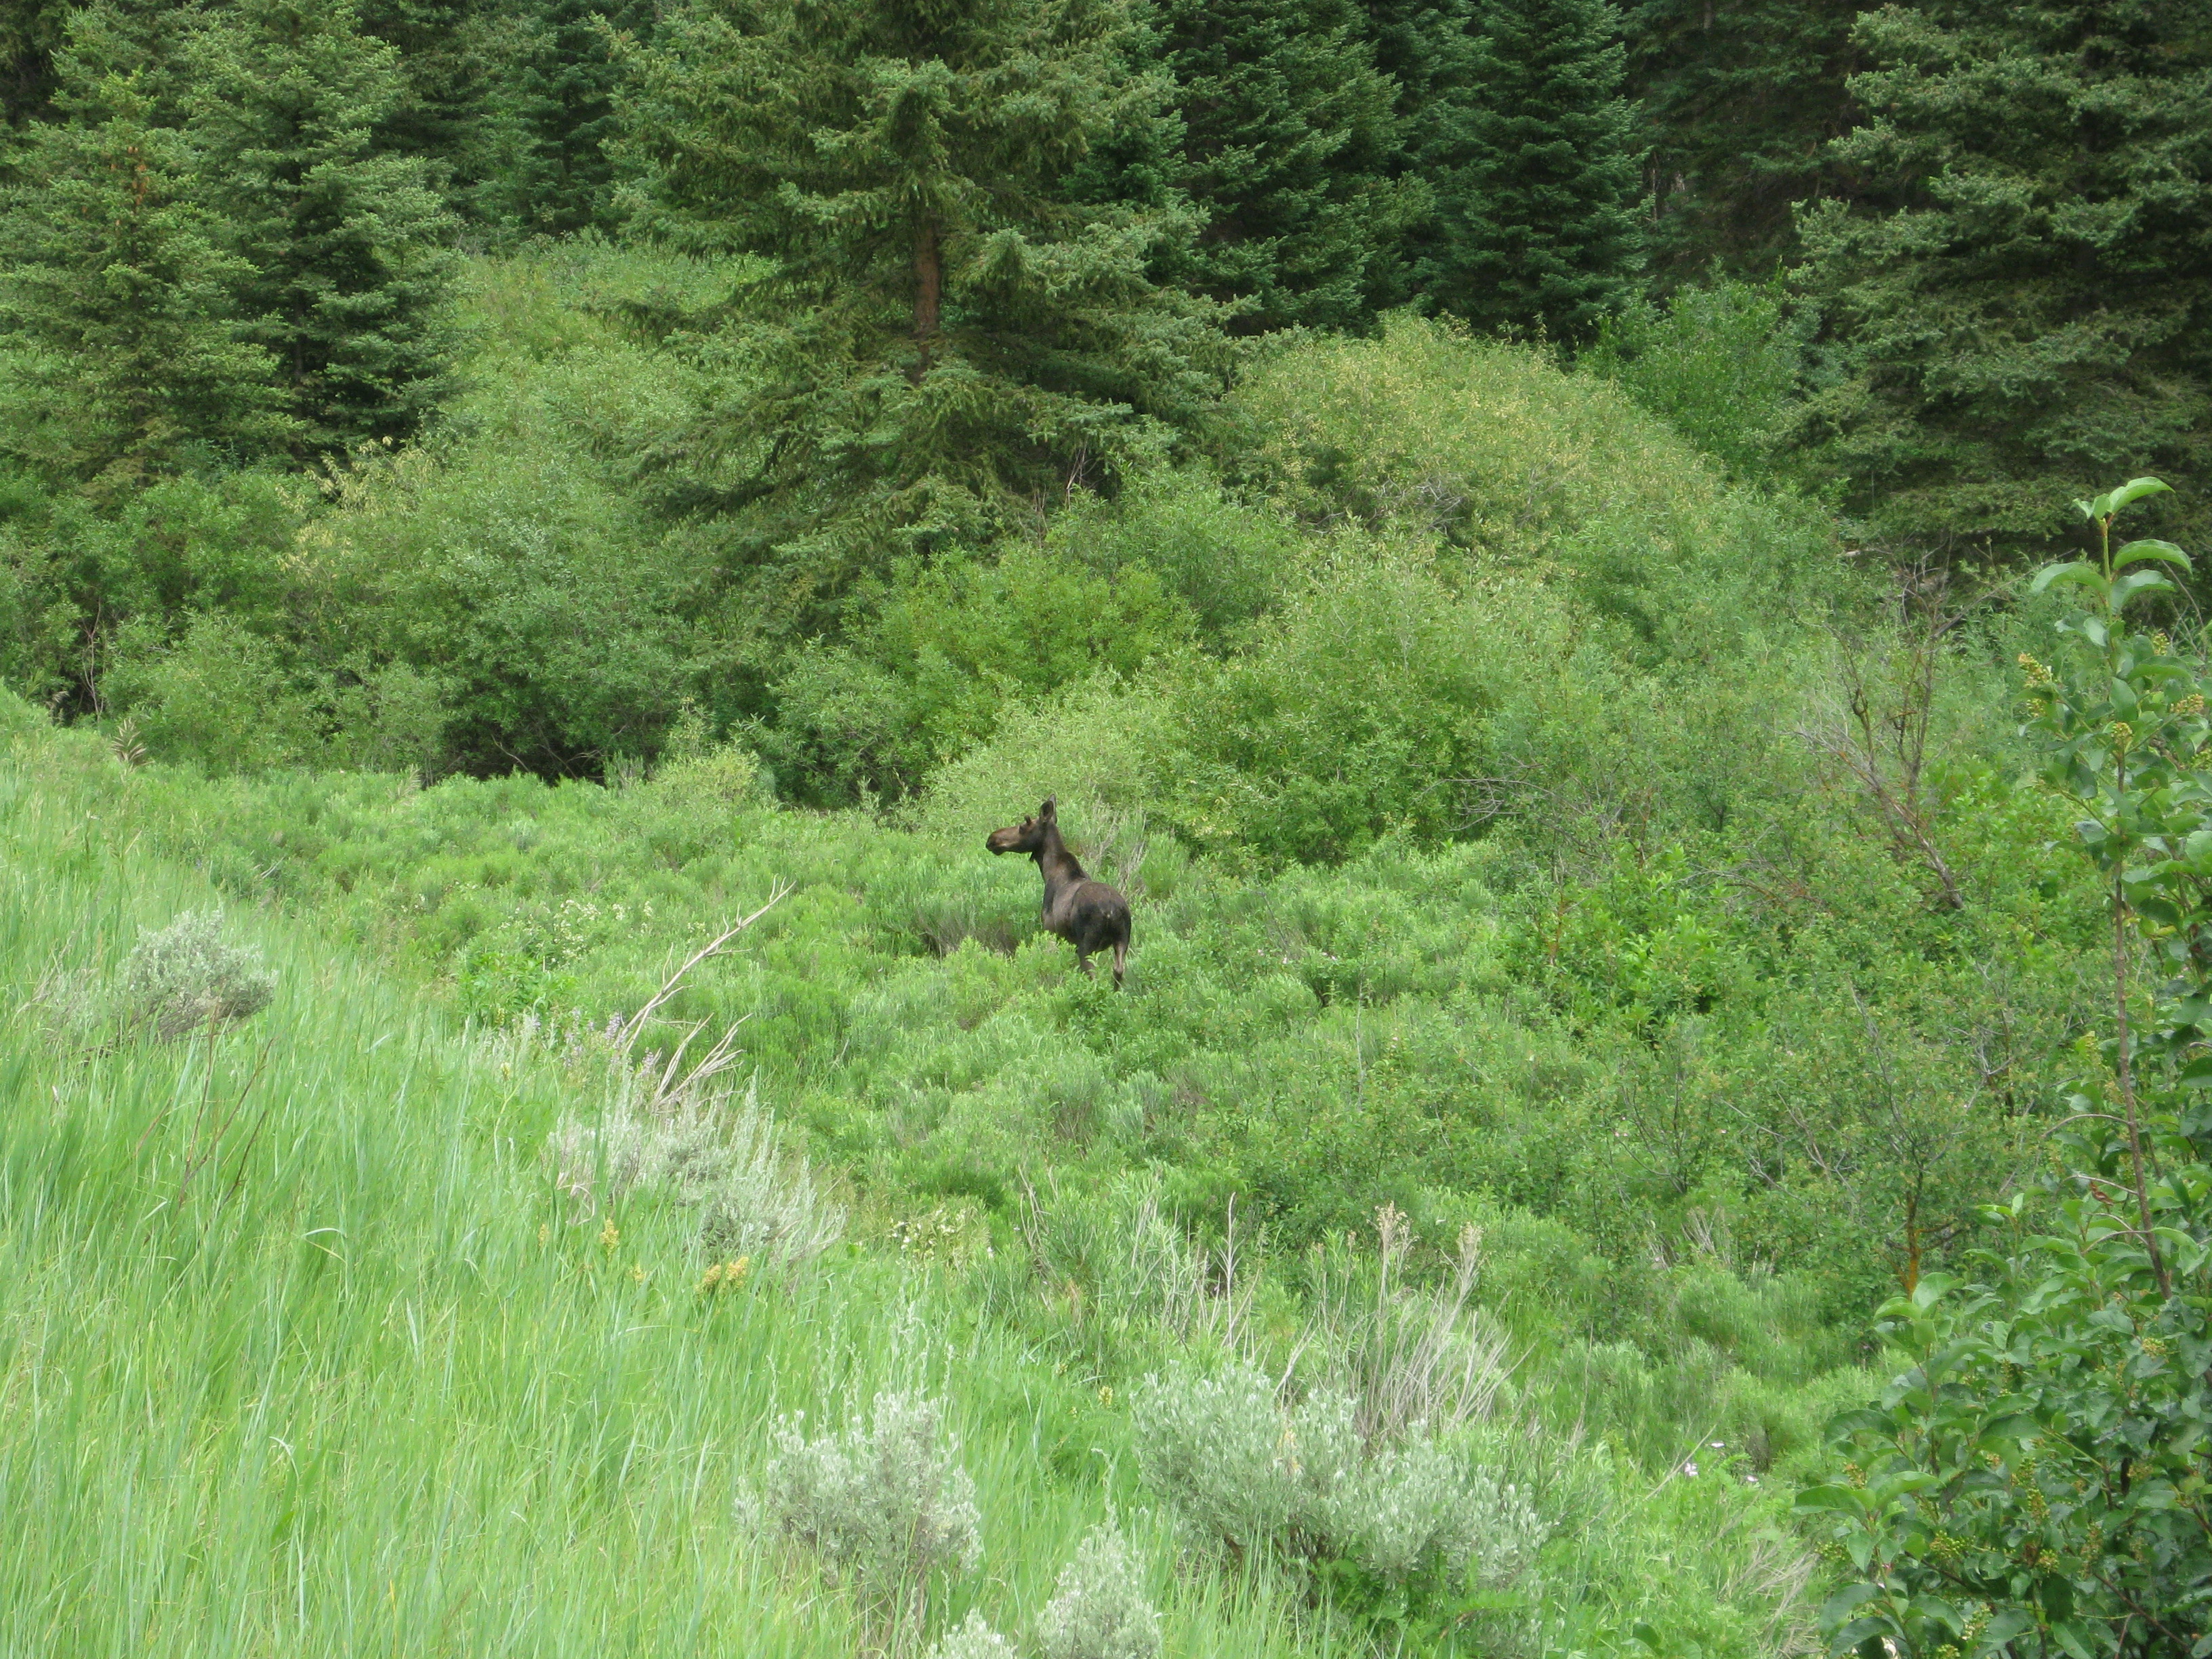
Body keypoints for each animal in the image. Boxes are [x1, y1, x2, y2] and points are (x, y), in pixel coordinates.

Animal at [986, 796, 1132, 986]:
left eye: (1024, 825)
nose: (992, 838)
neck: (1047, 871)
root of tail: (1111, 910)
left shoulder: (1051, 931)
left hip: (1087, 944)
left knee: (1092, 975)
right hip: (1122, 939)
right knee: (1118, 970)